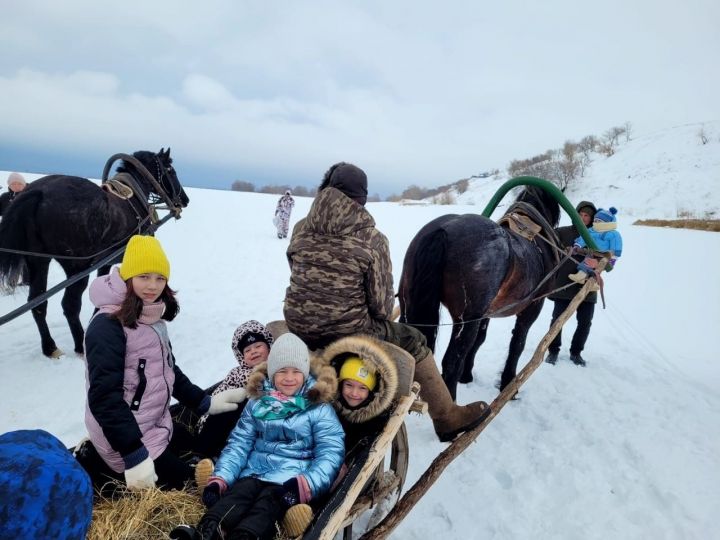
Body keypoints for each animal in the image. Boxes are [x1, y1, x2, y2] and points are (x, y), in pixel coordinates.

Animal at [0, 148, 188, 358]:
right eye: (171, 170)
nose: (185, 199)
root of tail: (38, 192)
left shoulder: (105, 263)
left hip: (38, 262)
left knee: (38, 304)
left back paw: (50, 347)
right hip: (77, 267)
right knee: (70, 304)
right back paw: (80, 345)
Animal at [400, 188, 564, 398]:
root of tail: (444, 230)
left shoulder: (488, 311)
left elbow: (480, 340)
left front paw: (467, 376)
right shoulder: (532, 307)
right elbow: (517, 344)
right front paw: (508, 385)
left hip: (408, 303)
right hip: (465, 320)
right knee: (451, 362)